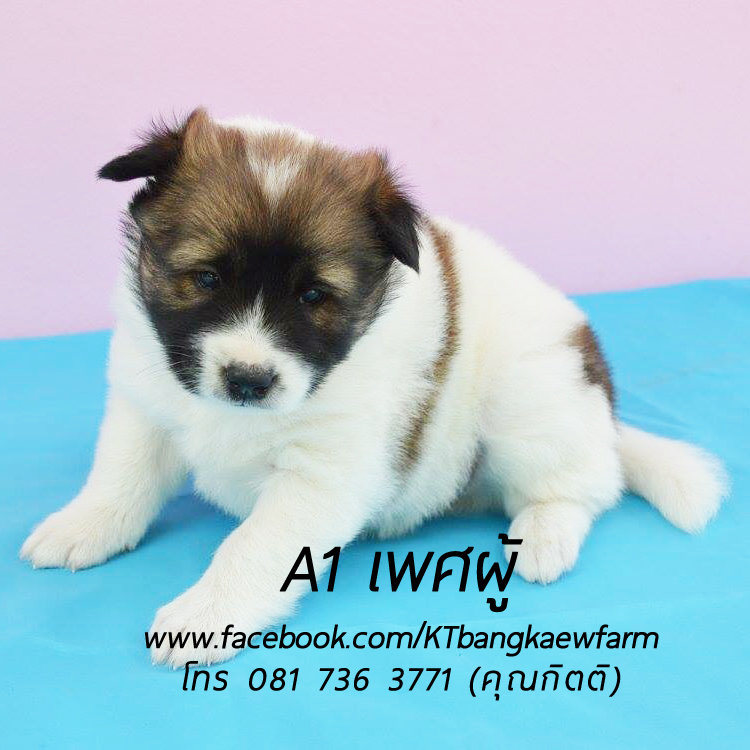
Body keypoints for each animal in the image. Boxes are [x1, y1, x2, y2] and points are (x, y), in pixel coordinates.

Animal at [20, 109, 727, 666]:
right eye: (206, 279)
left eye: (314, 296)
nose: (248, 379)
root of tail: (602, 413)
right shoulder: (145, 406)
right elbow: (121, 480)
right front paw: (84, 526)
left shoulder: (322, 475)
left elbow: (252, 547)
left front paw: (206, 615)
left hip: (531, 403)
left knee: (585, 486)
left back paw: (545, 534)